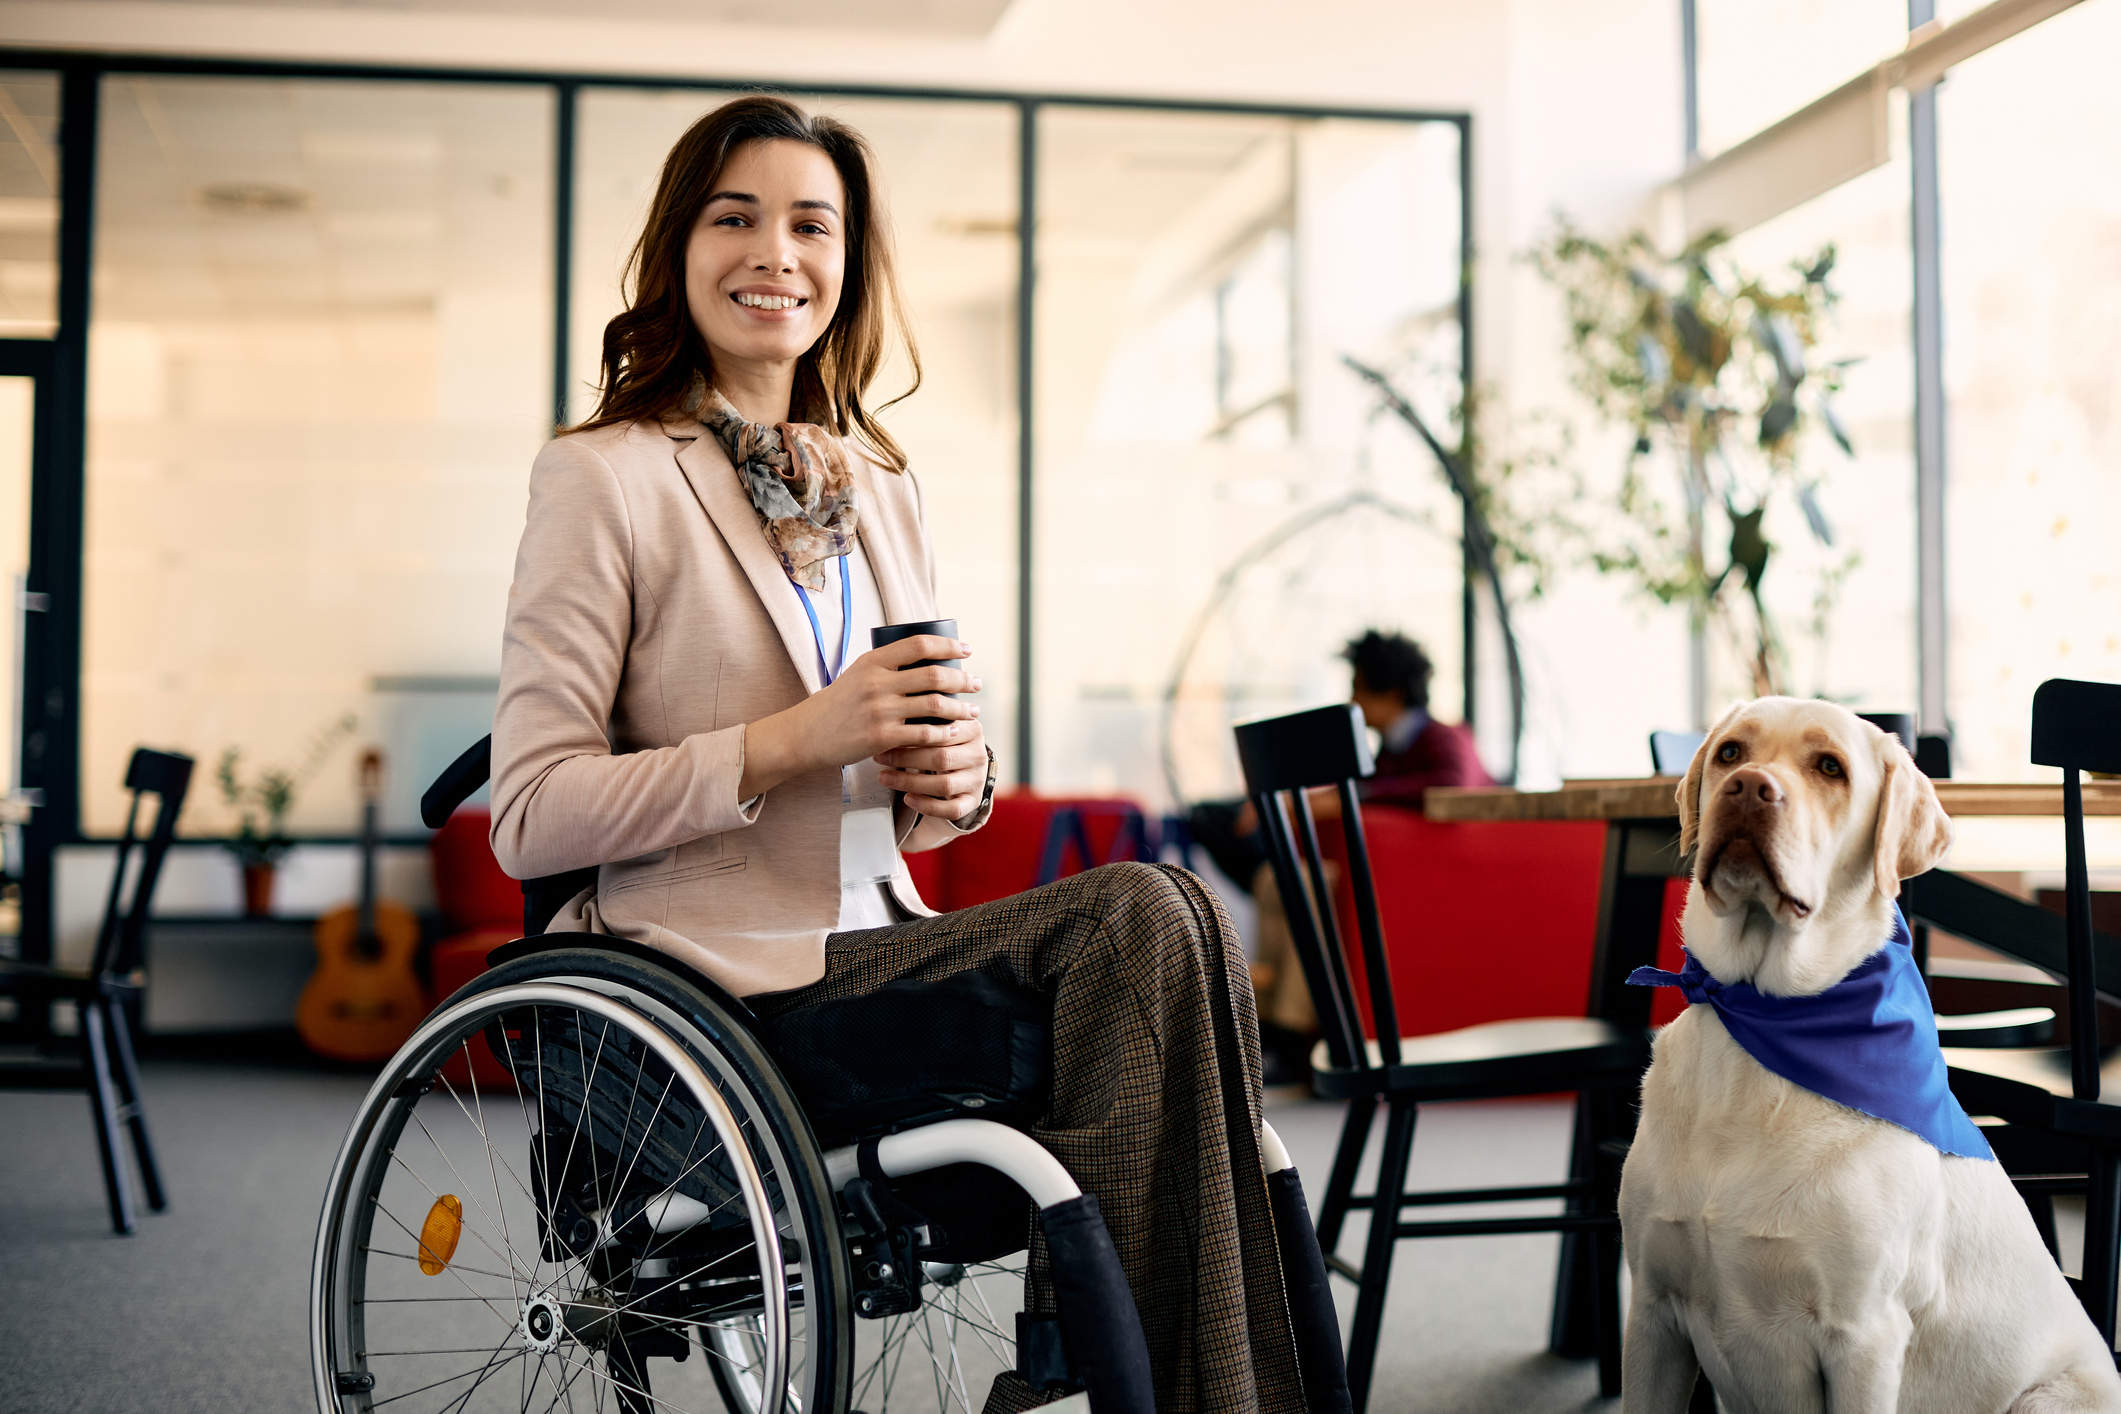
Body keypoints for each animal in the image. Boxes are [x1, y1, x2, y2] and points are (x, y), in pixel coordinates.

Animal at [1611, 699, 2112, 1414]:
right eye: (1731, 753)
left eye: (1830, 768)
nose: (1748, 788)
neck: (1762, 1021)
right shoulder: (1652, 1313)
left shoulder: (1863, 1337)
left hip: (2050, 1396)